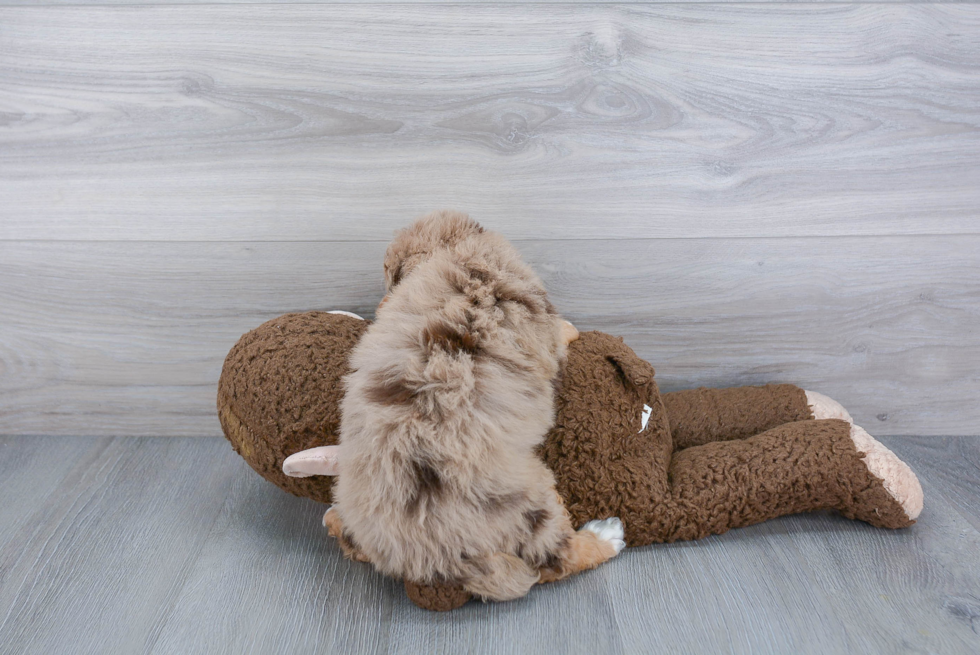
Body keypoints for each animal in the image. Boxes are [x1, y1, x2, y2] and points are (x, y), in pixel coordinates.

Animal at [330, 213, 620, 604]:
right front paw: (570, 327)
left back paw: (333, 520)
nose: (380, 304)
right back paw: (607, 536)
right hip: (527, 506)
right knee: (555, 560)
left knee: (351, 540)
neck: (459, 250)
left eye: (390, 274)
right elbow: (560, 336)